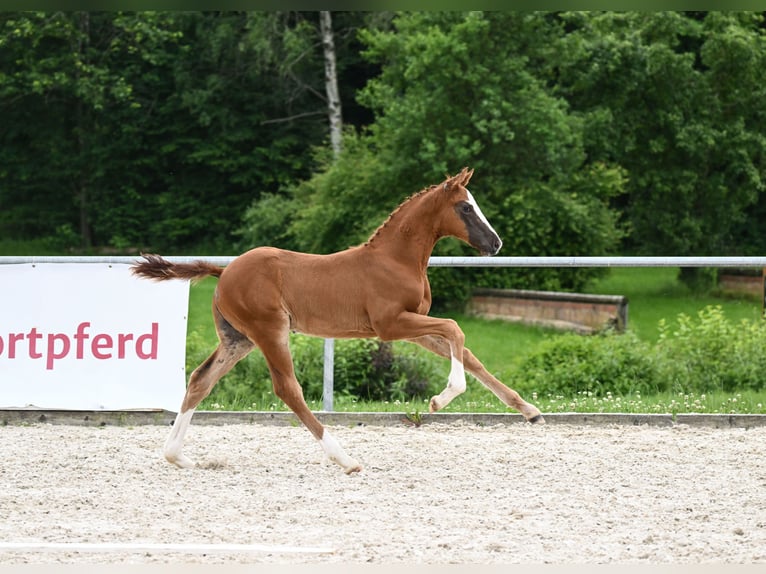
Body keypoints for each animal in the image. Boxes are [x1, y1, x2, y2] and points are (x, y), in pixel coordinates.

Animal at [135, 169, 548, 474]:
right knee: (288, 389)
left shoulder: (413, 324)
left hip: (239, 339)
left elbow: (467, 351)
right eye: (465, 207)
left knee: (200, 380)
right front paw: (439, 399)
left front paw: (530, 411)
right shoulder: (391, 325)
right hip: (270, 331)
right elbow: (455, 328)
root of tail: (224, 273)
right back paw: (345, 459)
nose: (495, 244)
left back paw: (178, 456)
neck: (395, 259)